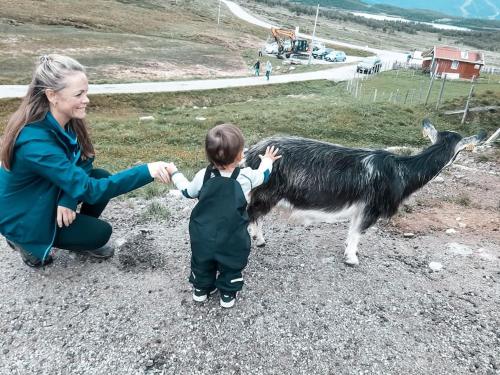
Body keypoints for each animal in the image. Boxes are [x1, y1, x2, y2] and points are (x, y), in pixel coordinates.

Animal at [246, 119, 484, 266]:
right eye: (460, 150)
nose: (480, 137)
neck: (401, 171)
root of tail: (252, 153)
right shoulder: (372, 207)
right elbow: (358, 232)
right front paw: (352, 258)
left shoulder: (361, 207)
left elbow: (352, 230)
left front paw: (347, 250)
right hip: (266, 193)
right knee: (251, 214)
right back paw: (258, 240)